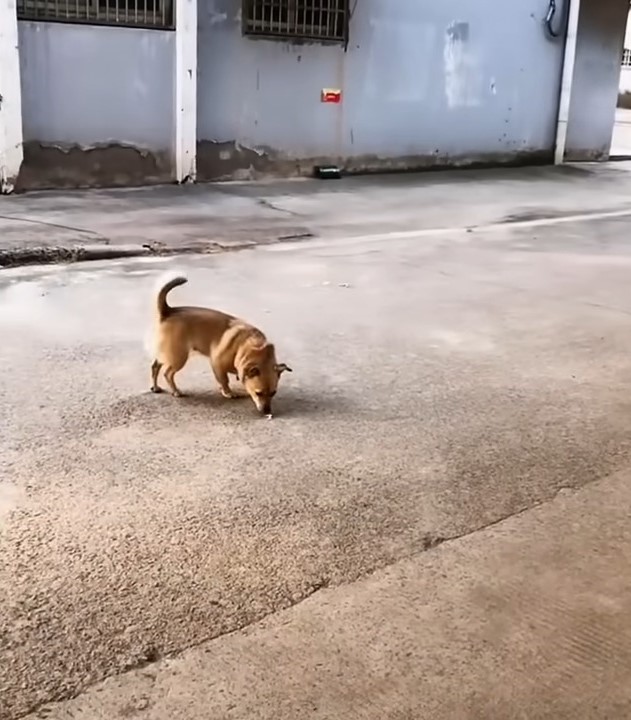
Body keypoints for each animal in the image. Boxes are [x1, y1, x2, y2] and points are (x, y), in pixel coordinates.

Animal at [149, 276, 292, 416]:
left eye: (273, 393)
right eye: (259, 393)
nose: (267, 412)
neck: (250, 347)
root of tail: (168, 311)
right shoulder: (217, 363)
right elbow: (224, 379)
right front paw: (228, 392)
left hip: (167, 353)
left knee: (155, 366)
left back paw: (155, 387)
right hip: (179, 357)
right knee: (168, 373)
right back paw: (175, 391)